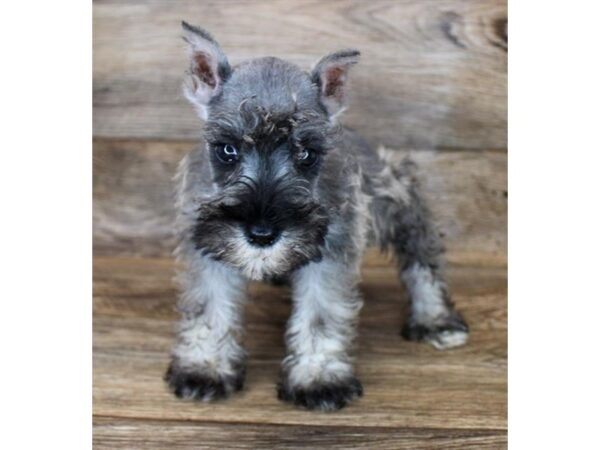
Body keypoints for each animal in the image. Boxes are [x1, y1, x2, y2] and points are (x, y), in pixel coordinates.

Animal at [164, 22, 468, 412]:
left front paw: (318, 378)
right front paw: (205, 368)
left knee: (421, 252)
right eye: (227, 149)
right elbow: (209, 306)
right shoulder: (204, 246)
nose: (261, 234)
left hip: (395, 193)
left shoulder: (332, 248)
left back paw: (435, 318)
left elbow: (321, 313)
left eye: (307, 154)